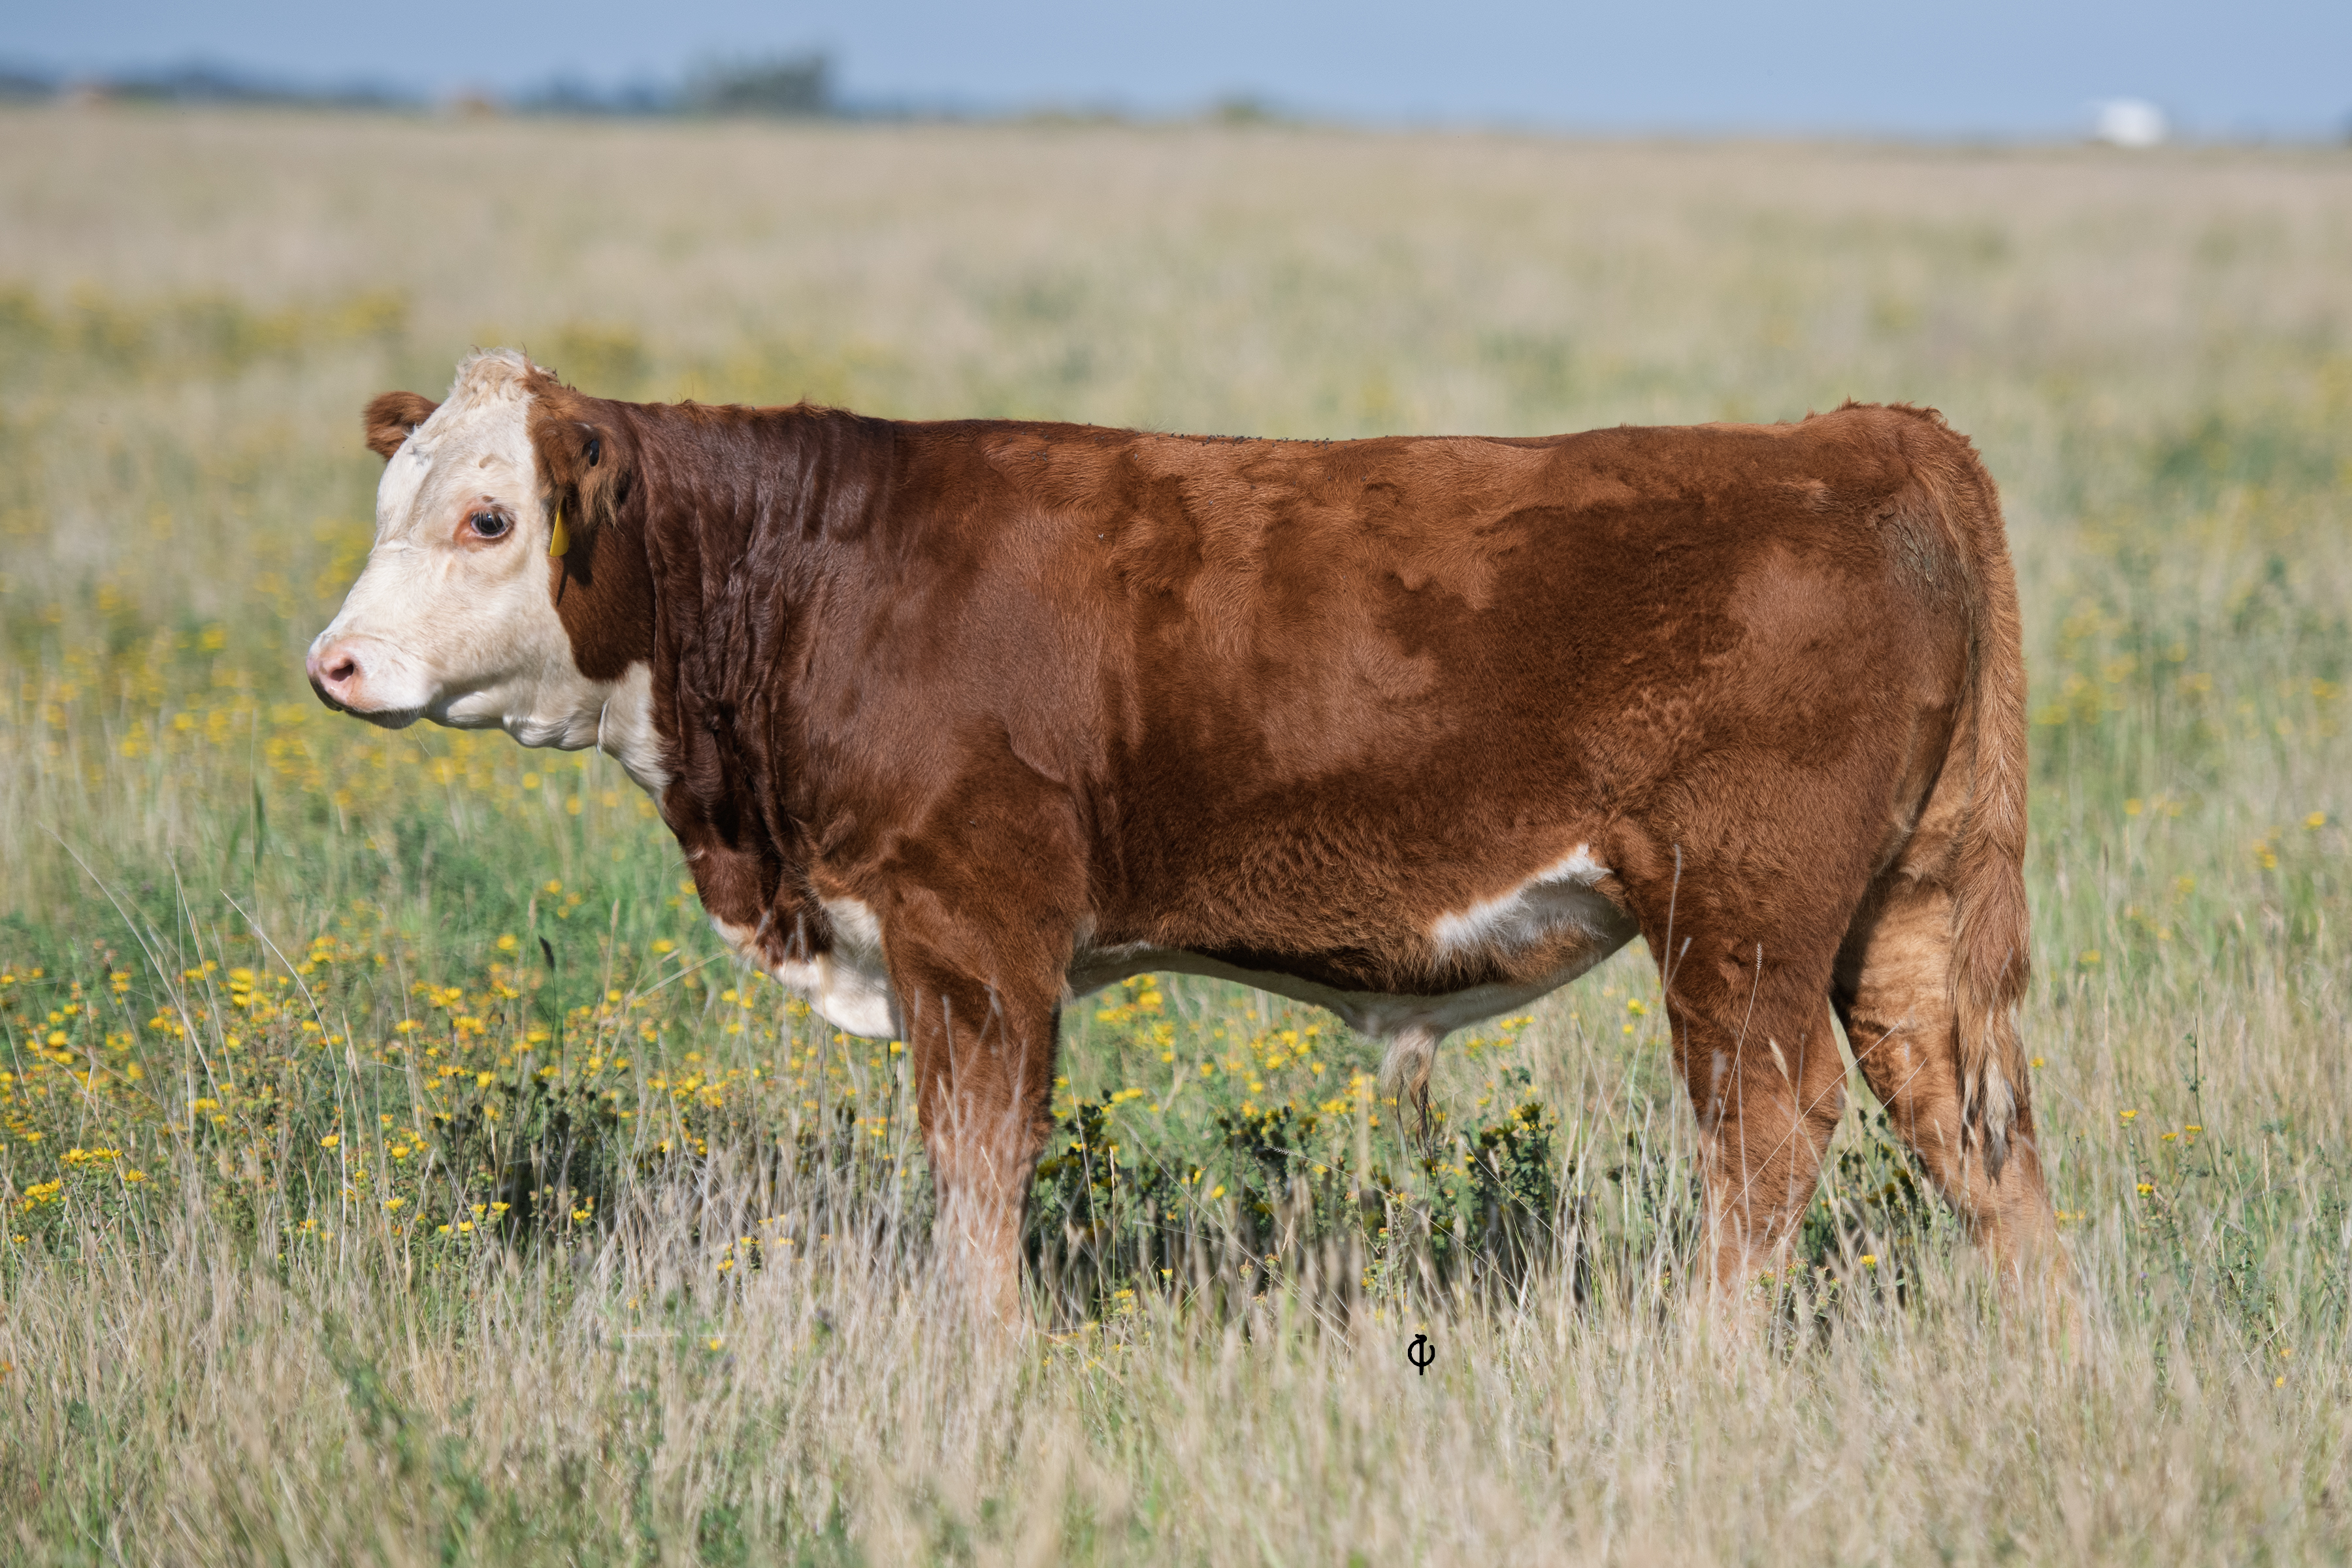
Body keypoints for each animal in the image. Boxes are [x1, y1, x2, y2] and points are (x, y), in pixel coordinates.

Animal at [309, 349, 2061, 1317]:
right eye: (388, 502)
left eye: (487, 517)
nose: (332, 663)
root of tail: (1858, 435)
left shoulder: (976, 929)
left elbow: (977, 1167)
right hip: (1898, 914)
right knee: (1970, 1124)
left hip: (1741, 914)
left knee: (1767, 1125)